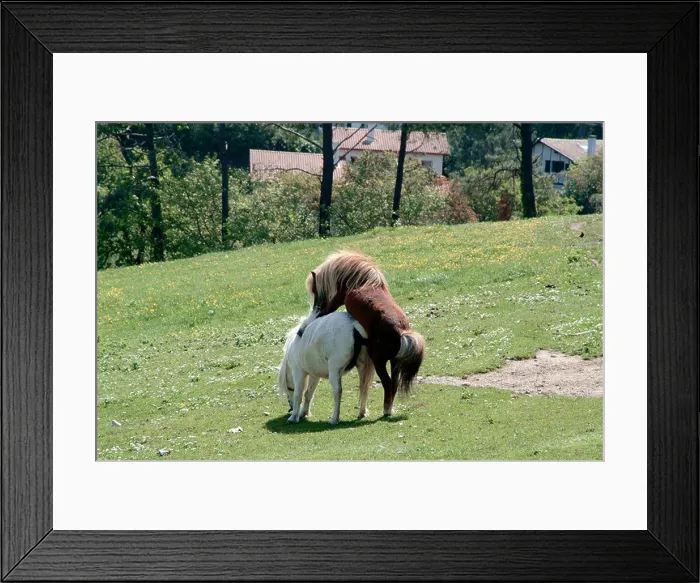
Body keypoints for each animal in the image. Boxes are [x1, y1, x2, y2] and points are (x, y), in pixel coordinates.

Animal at [304, 251, 424, 416]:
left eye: (316, 289)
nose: (317, 307)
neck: (363, 282)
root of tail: (402, 333)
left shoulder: (337, 300)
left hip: (379, 361)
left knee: (387, 383)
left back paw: (386, 410)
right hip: (394, 362)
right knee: (394, 383)